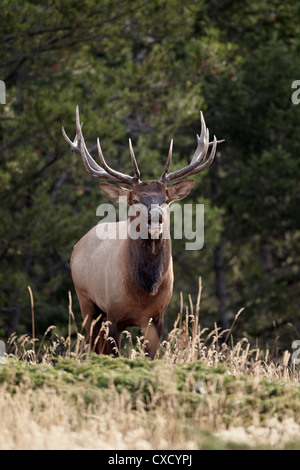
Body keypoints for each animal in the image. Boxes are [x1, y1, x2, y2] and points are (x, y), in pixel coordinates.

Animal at [62, 107, 223, 360]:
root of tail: (80, 243)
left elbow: (151, 357)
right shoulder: (114, 314)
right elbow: (114, 355)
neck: (144, 292)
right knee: (95, 347)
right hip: (86, 300)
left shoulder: (157, 317)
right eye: (135, 199)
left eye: (165, 199)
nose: (155, 218)